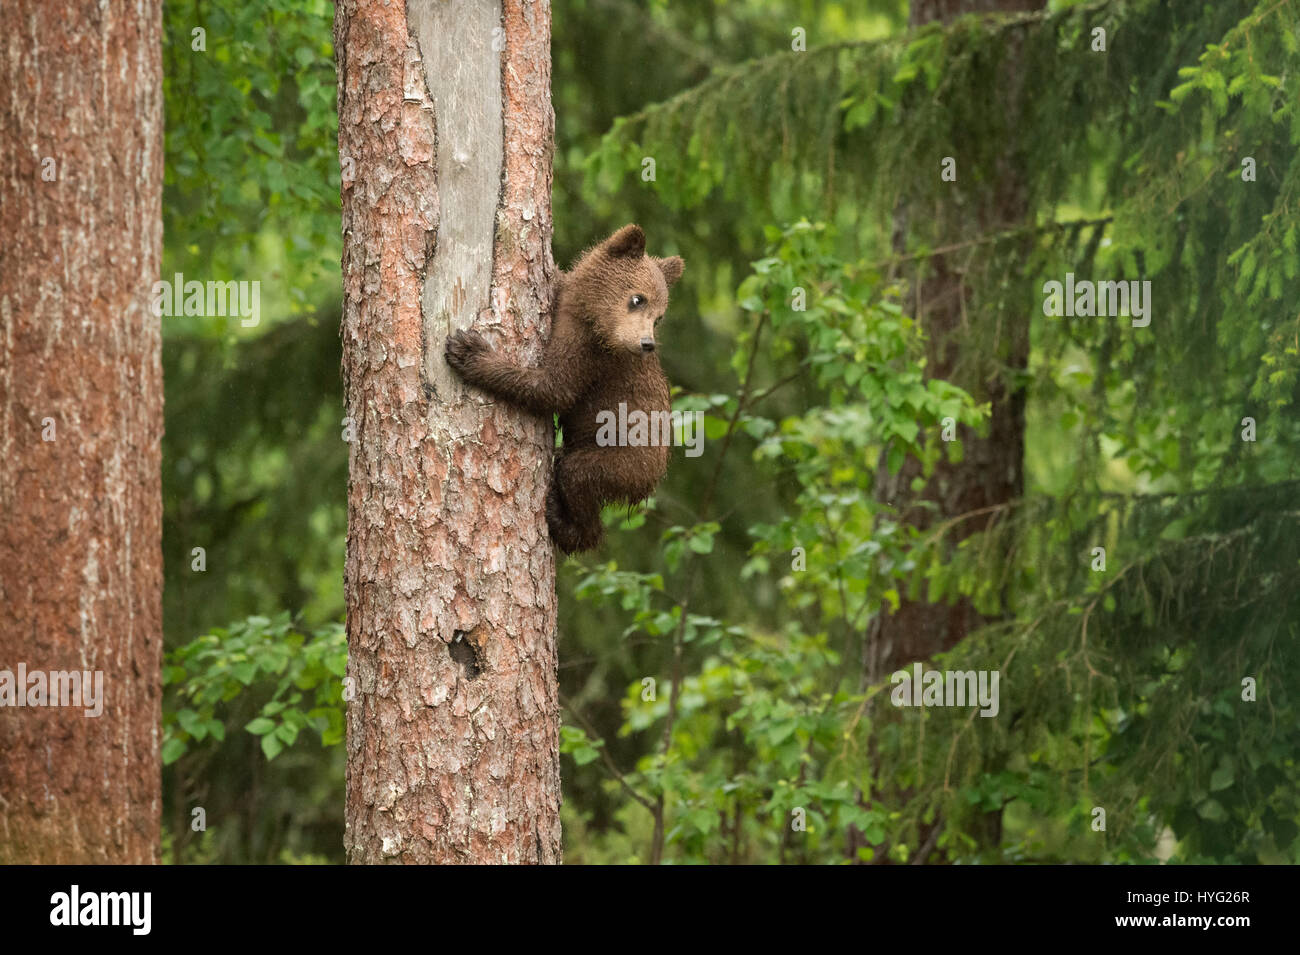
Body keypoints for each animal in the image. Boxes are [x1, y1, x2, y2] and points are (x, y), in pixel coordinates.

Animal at [444, 224, 684, 555]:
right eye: (639, 299)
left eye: (659, 316)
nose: (646, 343)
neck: (587, 315)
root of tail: (654, 479)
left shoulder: (591, 357)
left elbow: (554, 389)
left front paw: (470, 352)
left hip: (624, 459)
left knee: (578, 476)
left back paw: (565, 522)